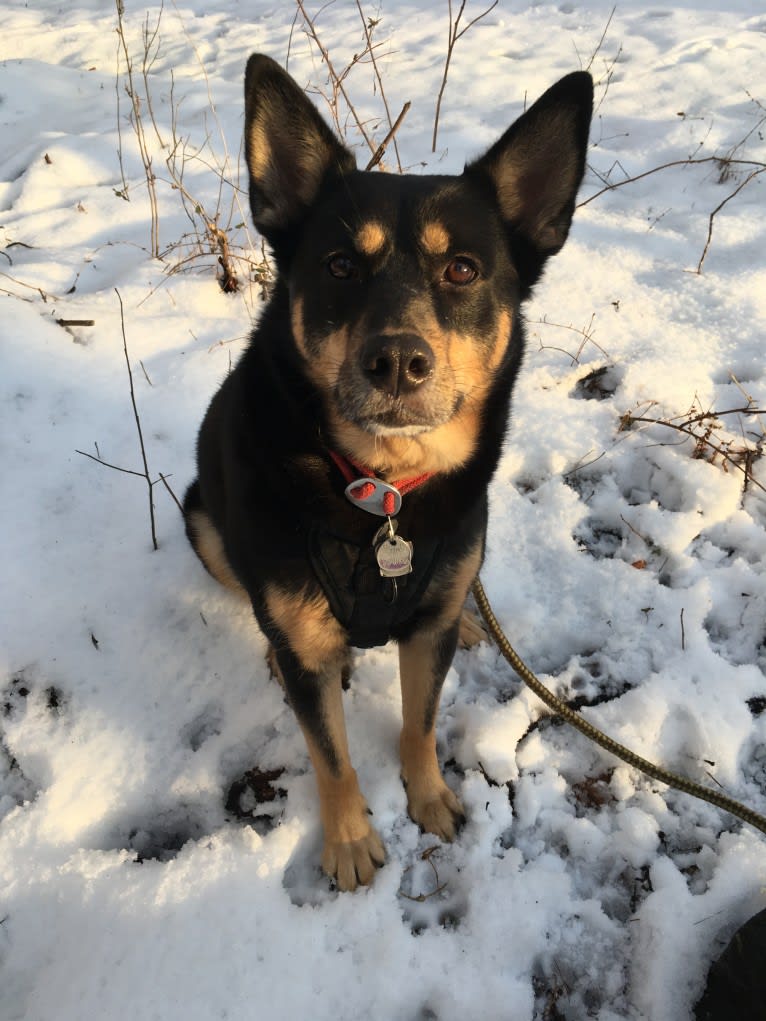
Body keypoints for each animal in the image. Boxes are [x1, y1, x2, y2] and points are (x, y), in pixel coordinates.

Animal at [184, 55, 592, 890]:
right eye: (340, 264)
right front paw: (347, 839)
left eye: (462, 268)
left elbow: (420, 719)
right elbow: (331, 754)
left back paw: (465, 616)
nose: (398, 360)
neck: (383, 492)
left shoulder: (427, 626)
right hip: (200, 518)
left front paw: (429, 794)